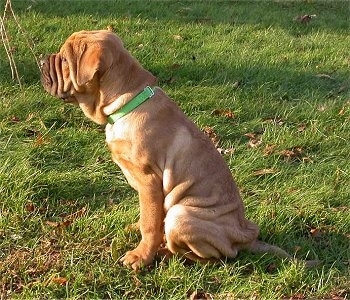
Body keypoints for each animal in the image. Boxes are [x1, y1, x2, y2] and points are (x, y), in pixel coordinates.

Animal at [40, 29, 314, 270]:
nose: (41, 61)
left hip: (181, 214)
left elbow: (150, 224)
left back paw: (169, 254)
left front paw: (141, 256)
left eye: (64, 59)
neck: (127, 102)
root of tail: (247, 237)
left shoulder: (149, 180)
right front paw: (138, 232)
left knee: (217, 257)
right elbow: (147, 216)